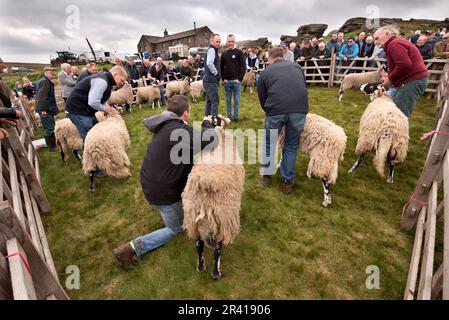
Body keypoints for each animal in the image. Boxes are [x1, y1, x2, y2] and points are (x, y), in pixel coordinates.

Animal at [181, 118, 245, 280]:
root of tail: (207, 182)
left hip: (194, 219)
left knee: (199, 244)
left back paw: (200, 267)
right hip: (223, 219)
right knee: (217, 248)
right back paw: (216, 273)